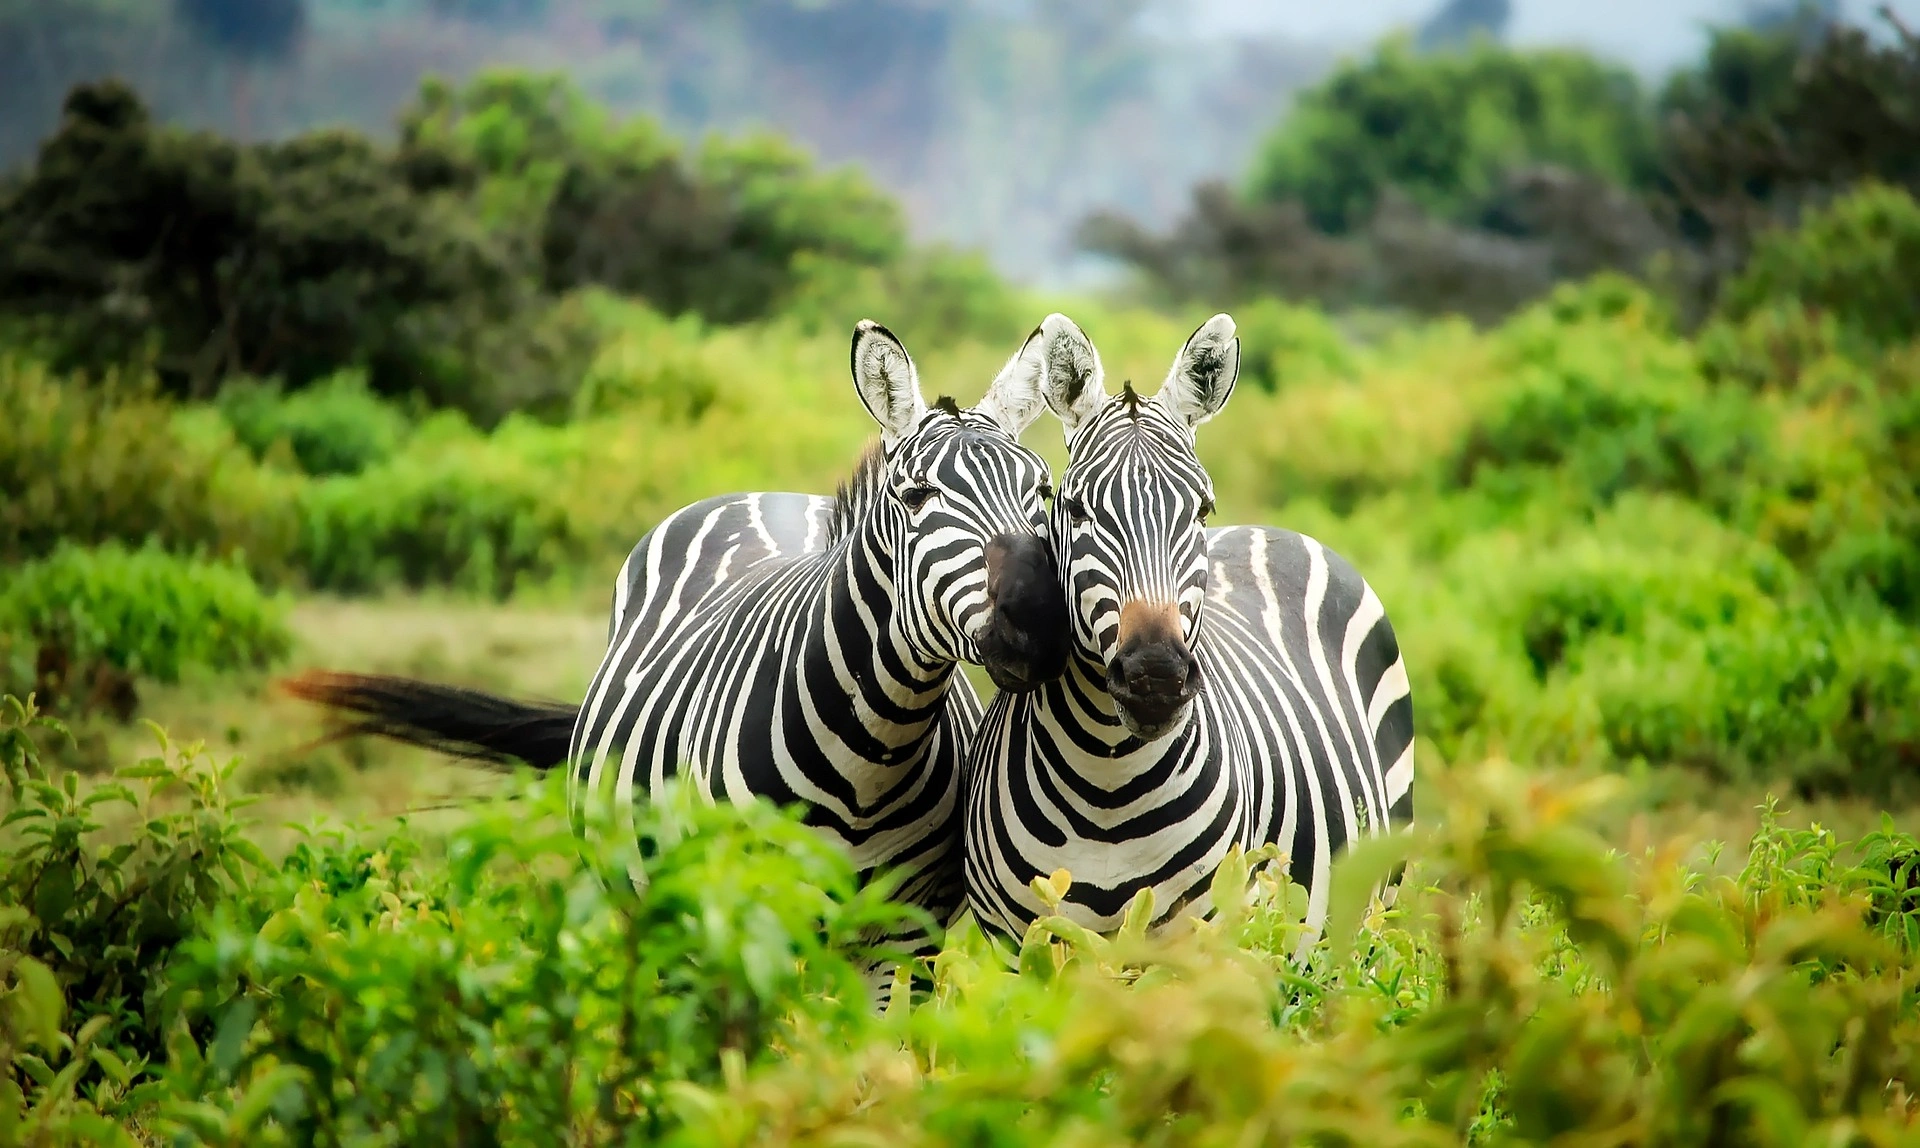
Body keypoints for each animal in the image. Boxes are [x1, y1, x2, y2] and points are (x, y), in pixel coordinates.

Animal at [280, 318, 1082, 1005]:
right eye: (917, 497)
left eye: (1043, 491)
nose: (1041, 622)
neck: (871, 754)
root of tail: (765, 493)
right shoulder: (738, 920)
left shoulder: (901, 941)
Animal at [960, 310, 1413, 959]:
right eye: (1074, 509)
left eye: (1200, 510)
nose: (1155, 676)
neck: (1107, 784)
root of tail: (1271, 529)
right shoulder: (1021, 946)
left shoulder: (1204, 943)